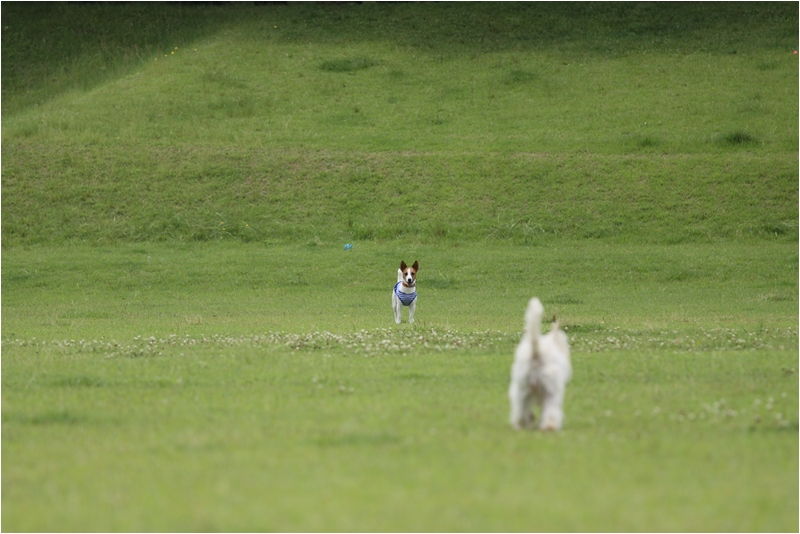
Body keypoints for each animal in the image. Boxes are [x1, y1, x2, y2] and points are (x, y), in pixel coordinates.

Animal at [510, 300, 572, 434]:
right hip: (551, 392)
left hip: (521, 390)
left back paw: (523, 424)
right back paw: (549, 427)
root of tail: (536, 353)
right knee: (551, 412)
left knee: (521, 410)